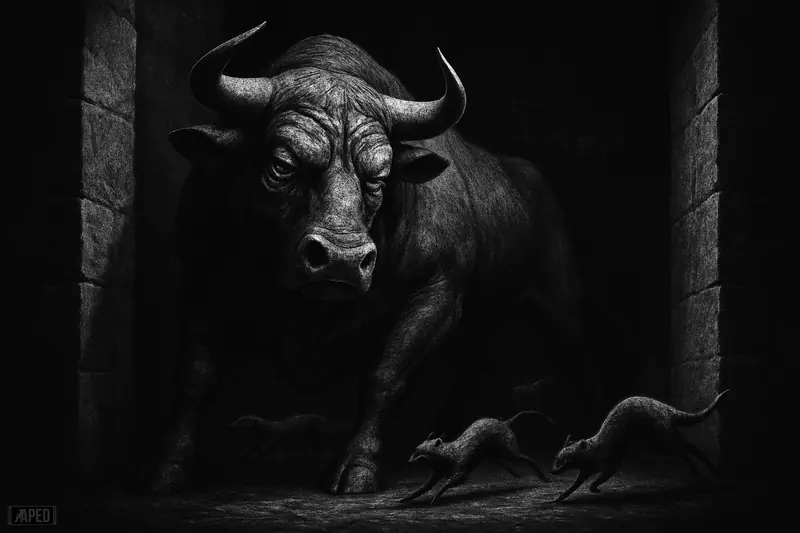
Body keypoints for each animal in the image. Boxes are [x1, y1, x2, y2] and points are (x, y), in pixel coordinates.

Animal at [152, 21, 588, 495]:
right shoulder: (203, 280)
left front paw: (357, 466)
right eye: (282, 164)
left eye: (378, 177)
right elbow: (195, 377)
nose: (342, 260)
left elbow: (384, 378)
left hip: (558, 306)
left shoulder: (435, 295)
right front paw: (172, 467)